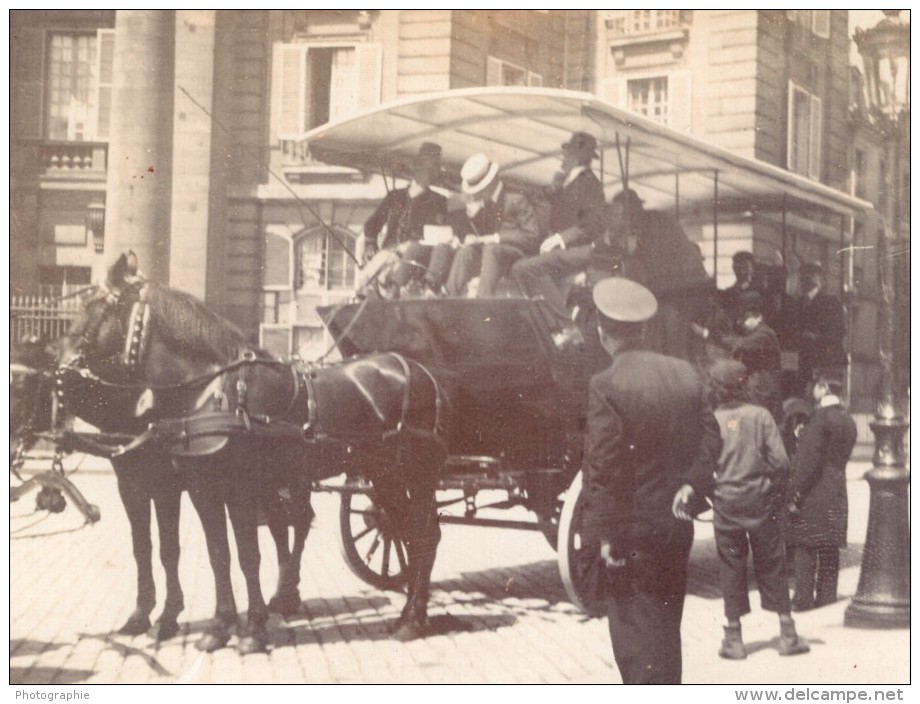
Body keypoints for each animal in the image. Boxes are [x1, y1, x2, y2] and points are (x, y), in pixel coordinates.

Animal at [56, 252, 446, 648]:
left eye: (95, 311)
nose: (58, 374)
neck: (212, 391)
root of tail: (419, 372)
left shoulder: (231, 487)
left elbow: (246, 554)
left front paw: (253, 628)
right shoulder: (198, 488)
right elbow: (215, 554)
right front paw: (218, 625)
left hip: (414, 475)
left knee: (425, 534)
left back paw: (413, 618)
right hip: (383, 477)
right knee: (403, 531)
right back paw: (397, 613)